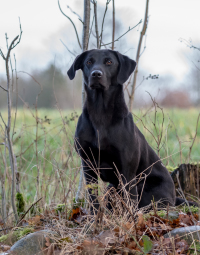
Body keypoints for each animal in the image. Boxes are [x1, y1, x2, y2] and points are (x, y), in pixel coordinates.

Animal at [68, 48, 184, 213]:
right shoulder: (88, 165)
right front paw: (93, 218)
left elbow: (130, 201)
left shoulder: (127, 169)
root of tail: (174, 198)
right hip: (111, 188)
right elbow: (93, 197)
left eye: (109, 62)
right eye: (89, 62)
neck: (100, 113)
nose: (96, 74)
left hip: (147, 191)